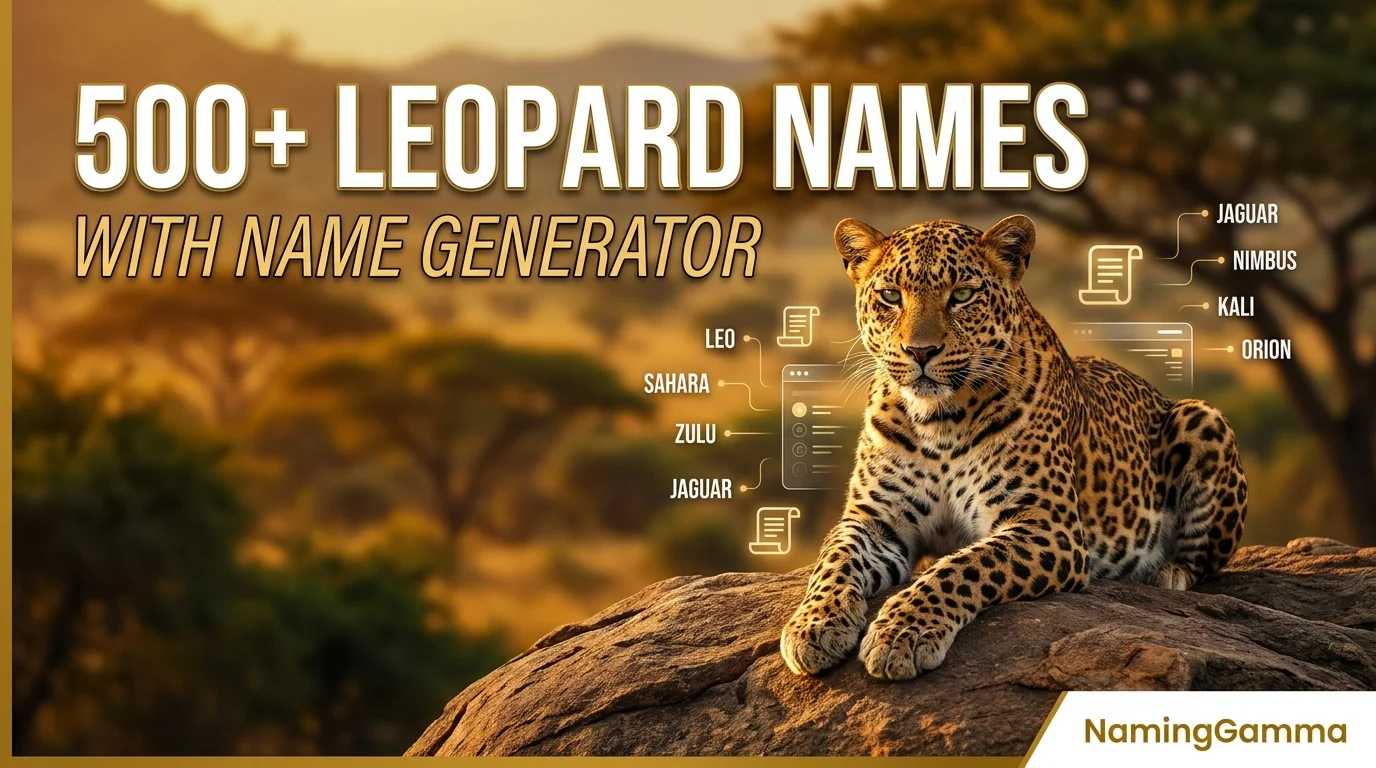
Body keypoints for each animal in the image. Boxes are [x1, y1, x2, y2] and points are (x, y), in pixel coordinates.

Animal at [780, 214, 1247, 681]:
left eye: (962, 295)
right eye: (891, 296)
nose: (920, 351)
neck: (938, 420)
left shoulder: (1047, 525)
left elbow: (963, 567)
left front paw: (903, 632)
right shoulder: (875, 521)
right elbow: (834, 560)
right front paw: (813, 626)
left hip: (1202, 418)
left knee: (1201, 565)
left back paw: (1165, 573)